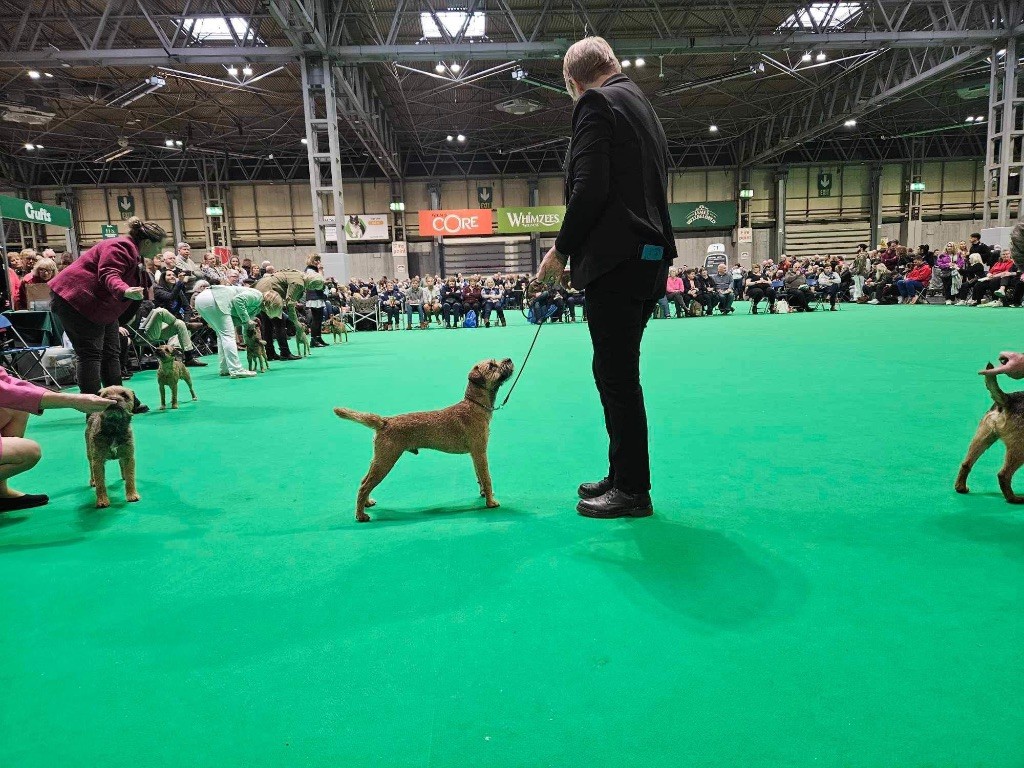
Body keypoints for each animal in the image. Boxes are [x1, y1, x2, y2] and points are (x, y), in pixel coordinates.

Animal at [333, 360, 512, 524]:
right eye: (492, 366)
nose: (509, 359)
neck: (475, 406)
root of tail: (385, 421)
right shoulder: (480, 452)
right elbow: (487, 477)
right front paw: (490, 502)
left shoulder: (475, 453)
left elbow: (479, 475)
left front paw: (484, 494)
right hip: (385, 460)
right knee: (365, 486)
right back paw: (361, 515)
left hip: (379, 459)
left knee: (364, 480)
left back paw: (367, 503)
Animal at [954, 364, 1024, 501]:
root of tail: (1008, 399)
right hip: (1020, 448)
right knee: (1004, 474)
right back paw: (1014, 499)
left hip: (982, 437)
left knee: (966, 464)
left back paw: (961, 487)